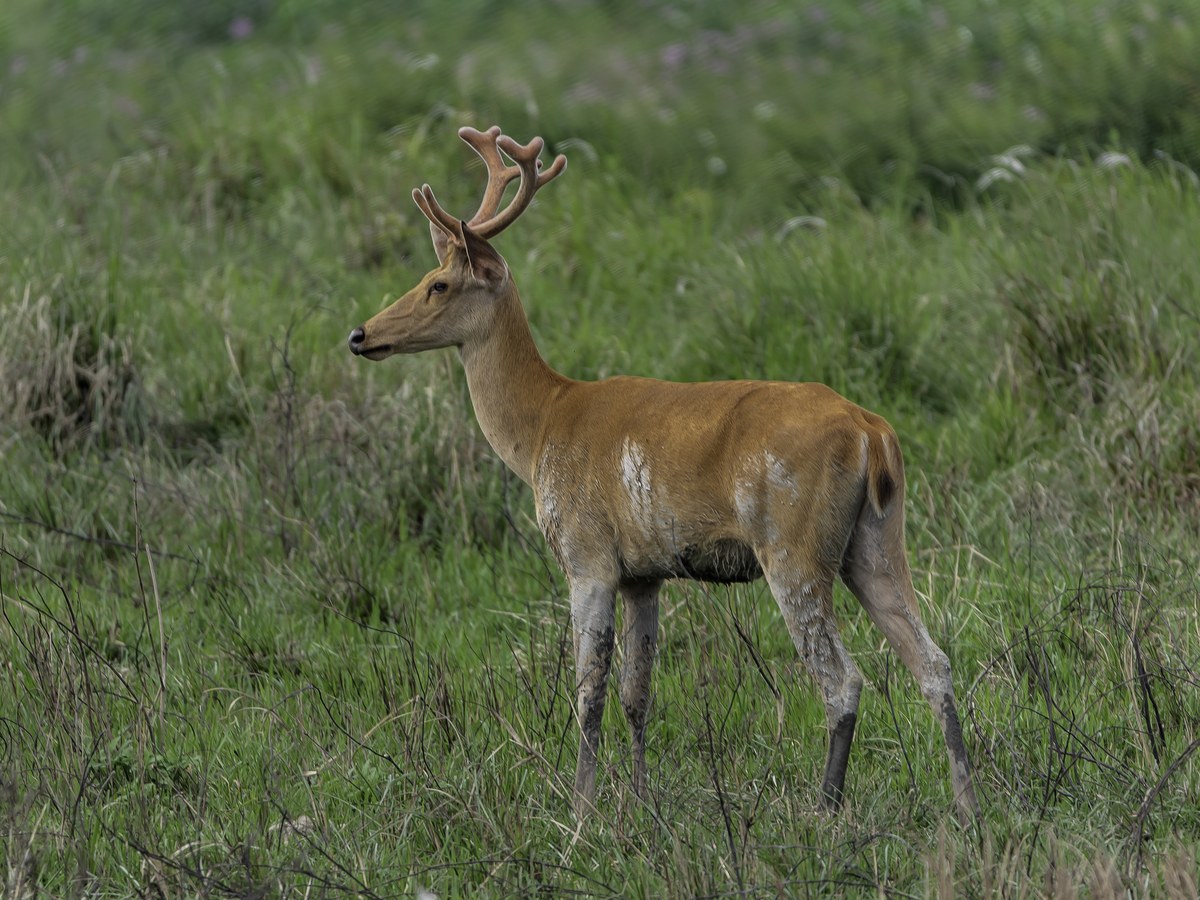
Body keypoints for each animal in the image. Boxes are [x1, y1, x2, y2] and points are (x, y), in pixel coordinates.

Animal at [347, 125, 980, 825]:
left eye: (437, 283)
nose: (360, 334)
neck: (542, 425)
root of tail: (873, 434)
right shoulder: (644, 574)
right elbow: (637, 693)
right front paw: (642, 800)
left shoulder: (587, 555)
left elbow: (588, 691)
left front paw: (582, 811)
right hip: (875, 540)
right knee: (934, 663)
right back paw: (968, 809)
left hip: (794, 545)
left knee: (842, 680)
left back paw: (825, 811)